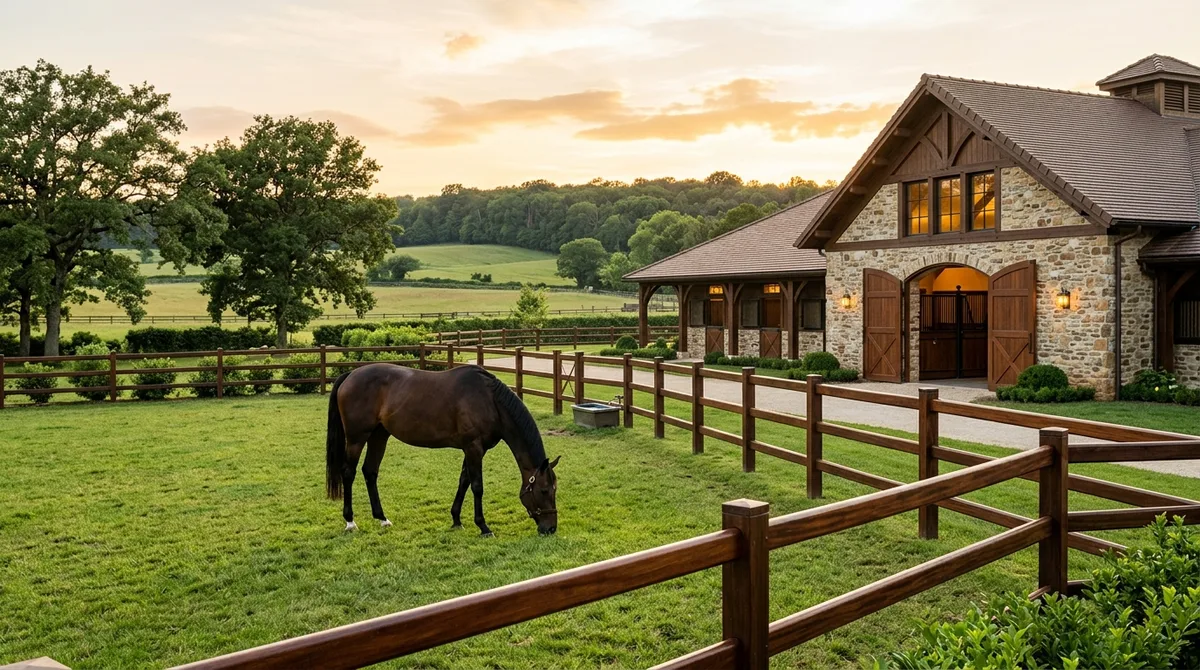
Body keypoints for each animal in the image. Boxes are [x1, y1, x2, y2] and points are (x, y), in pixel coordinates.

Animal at [325, 363, 559, 536]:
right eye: (544, 490)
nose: (550, 528)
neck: (490, 401)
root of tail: (351, 374)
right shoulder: (473, 447)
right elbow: (477, 486)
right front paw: (483, 527)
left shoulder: (473, 449)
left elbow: (464, 481)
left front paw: (456, 519)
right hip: (357, 438)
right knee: (348, 473)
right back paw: (350, 522)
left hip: (379, 435)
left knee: (370, 471)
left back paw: (382, 518)